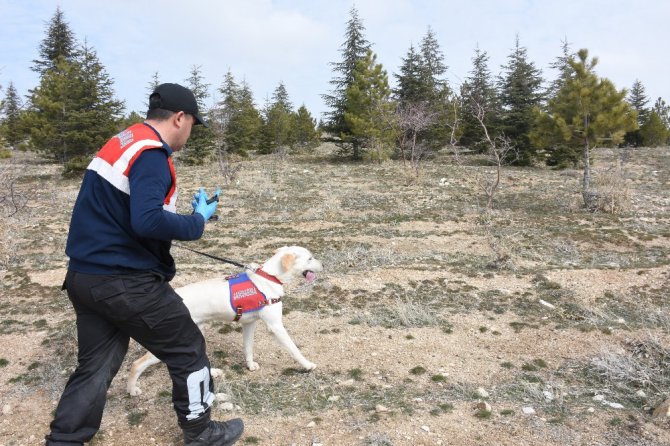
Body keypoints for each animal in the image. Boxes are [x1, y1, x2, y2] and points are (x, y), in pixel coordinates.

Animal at [129, 246, 326, 396]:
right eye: (310, 258)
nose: (323, 264)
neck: (270, 277)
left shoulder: (249, 324)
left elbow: (248, 348)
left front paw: (250, 366)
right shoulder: (276, 326)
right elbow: (294, 350)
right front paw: (308, 365)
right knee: (136, 364)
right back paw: (131, 390)